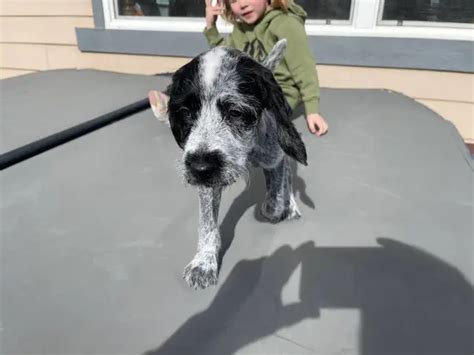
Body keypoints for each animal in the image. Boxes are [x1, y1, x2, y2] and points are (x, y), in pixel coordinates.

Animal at [159, 39, 308, 290]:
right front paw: (204, 262)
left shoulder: (274, 157)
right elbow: (207, 225)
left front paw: (278, 205)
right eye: (185, 112)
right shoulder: (208, 182)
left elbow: (274, 201)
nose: (199, 168)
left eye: (236, 112)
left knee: (288, 169)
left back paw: (290, 203)